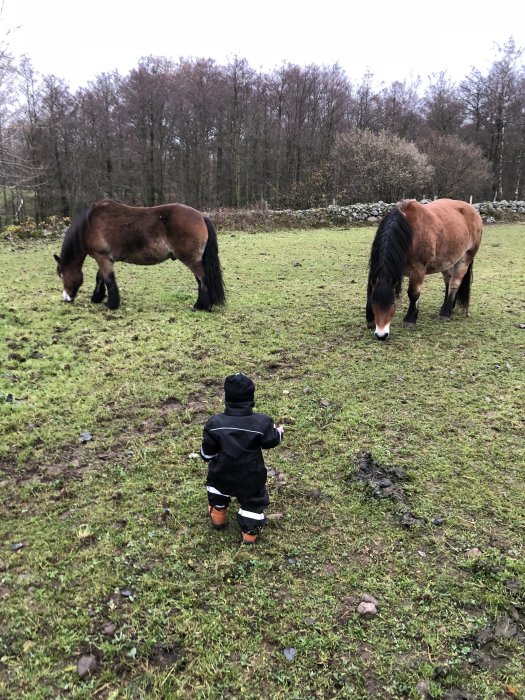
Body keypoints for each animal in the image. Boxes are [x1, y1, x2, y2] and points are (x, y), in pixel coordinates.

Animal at [53, 198, 225, 310]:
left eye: (62, 275)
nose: (66, 298)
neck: (89, 225)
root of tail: (201, 216)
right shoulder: (105, 257)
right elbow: (100, 278)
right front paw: (97, 298)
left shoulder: (102, 257)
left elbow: (108, 280)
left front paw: (111, 304)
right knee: (200, 280)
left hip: (192, 260)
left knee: (203, 280)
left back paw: (201, 306)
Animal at [364, 198, 484, 340]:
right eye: (374, 302)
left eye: (393, 303)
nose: (381, 335)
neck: (409, 233)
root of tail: (472, 210)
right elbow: (369, 291)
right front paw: (370, 319)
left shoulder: (418, 269)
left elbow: (413, 293)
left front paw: (410, 319)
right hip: (447, 260)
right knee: (448, 281)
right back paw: (449, 307)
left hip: (466, 258)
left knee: (454, 284)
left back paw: (445, 312)